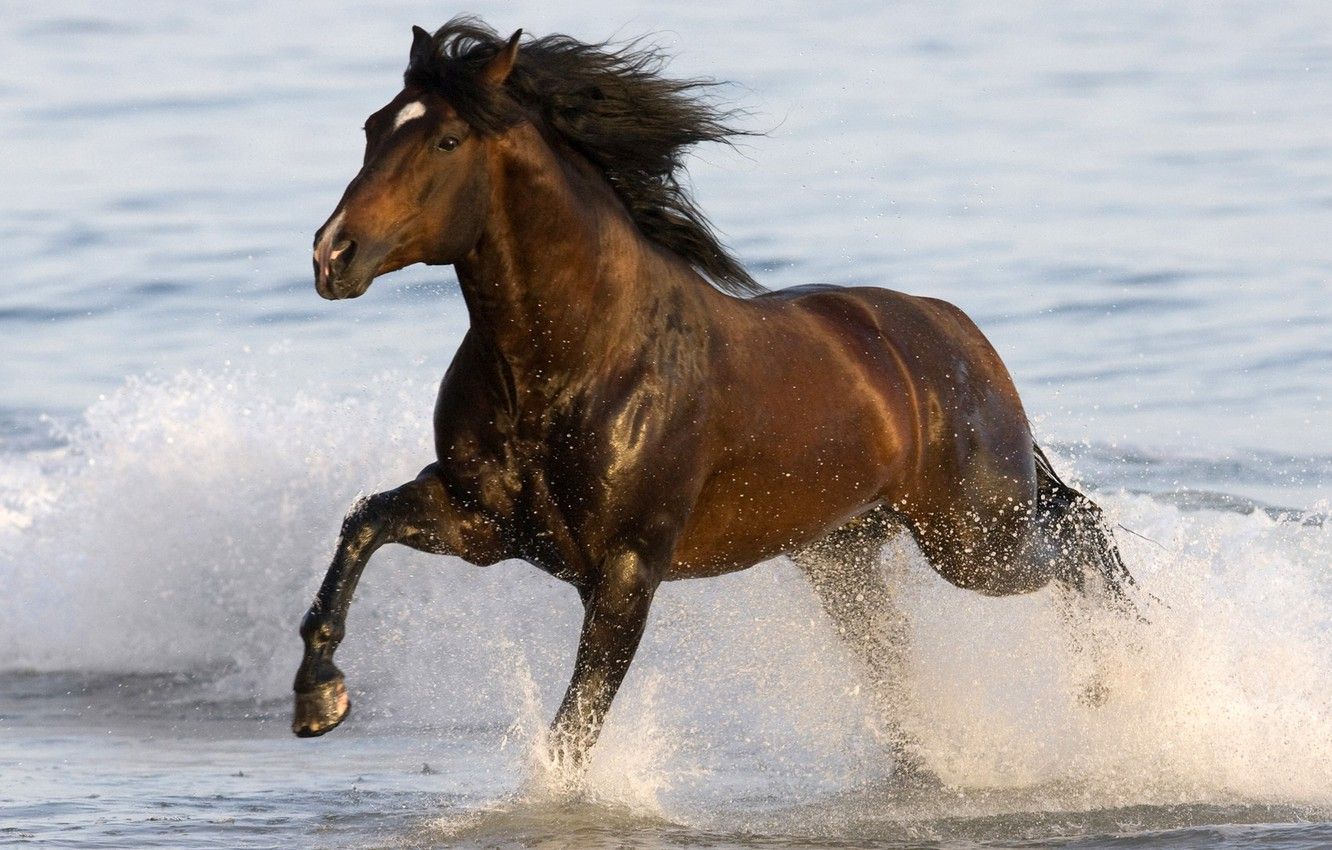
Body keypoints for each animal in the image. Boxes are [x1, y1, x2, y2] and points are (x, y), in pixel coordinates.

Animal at [292, 18, 1137, 769]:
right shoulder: (484, 524)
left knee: (1081, 541)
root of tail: (956, 331)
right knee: (902, 650)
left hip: (973, 538)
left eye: (445, 141)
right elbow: (365, 523)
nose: (333, 255)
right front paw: (318, 698)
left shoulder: (629, 567)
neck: (577, 361)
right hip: (845, 556)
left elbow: (576, 727)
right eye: (372, 128)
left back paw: (1114, 686)